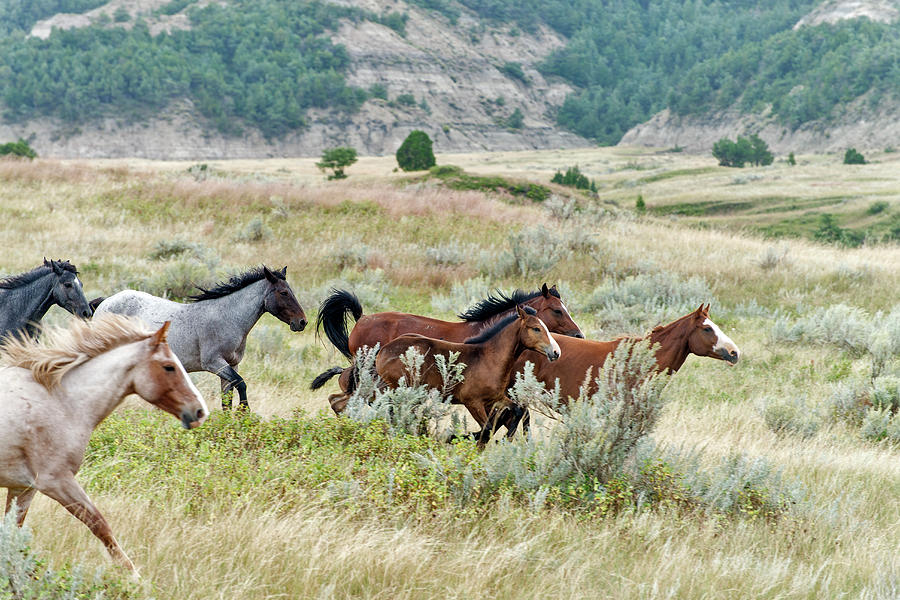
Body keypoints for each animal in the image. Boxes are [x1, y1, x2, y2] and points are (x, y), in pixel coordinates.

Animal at [0, 314, 207, 572]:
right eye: (169, 367)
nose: (200, 411)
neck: (62, 401)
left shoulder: (24, 488)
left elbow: (12, 534)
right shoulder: (56, 481)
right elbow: (101, 526)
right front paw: (134, 576)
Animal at [93, 268, 306, 412]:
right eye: (284, 293)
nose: (302, 322)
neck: (228, 317)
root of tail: (105, 302)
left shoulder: (231, 365)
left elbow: (227, 399)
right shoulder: (214, 363)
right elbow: (242, 384)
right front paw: (244, 412)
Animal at [370, 304, 556, 446]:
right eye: (536, 328)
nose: (555, 352)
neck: (489, 358)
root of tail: (383, 350)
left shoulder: (495, 398)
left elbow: (516, 411)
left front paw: (505, 438)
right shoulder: (472, 402)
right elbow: (487, 429)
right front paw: (453, 437)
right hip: (403, 389)